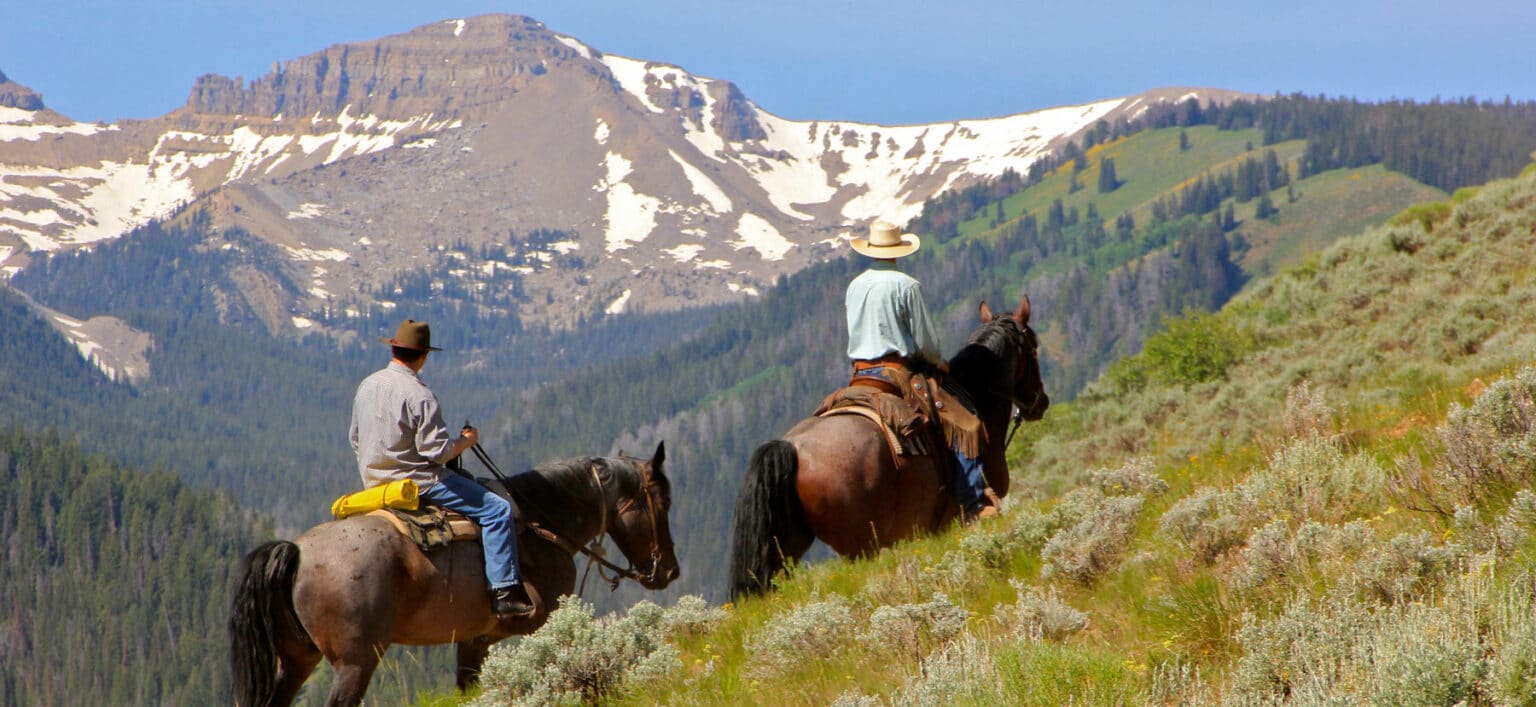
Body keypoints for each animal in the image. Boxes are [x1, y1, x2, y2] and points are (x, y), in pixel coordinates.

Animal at [228, 445, 678, 703]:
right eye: (663, 501)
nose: (669, 571)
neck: (542, 523)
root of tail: (298, 551)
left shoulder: (473, 641)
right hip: (355, 661)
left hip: (296, 660)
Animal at [728, 295, 1044, 599]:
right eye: (1034, 347)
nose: (1041, 402)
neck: (975, 392)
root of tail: (791, 446)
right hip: (858, 546)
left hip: (787, 549)